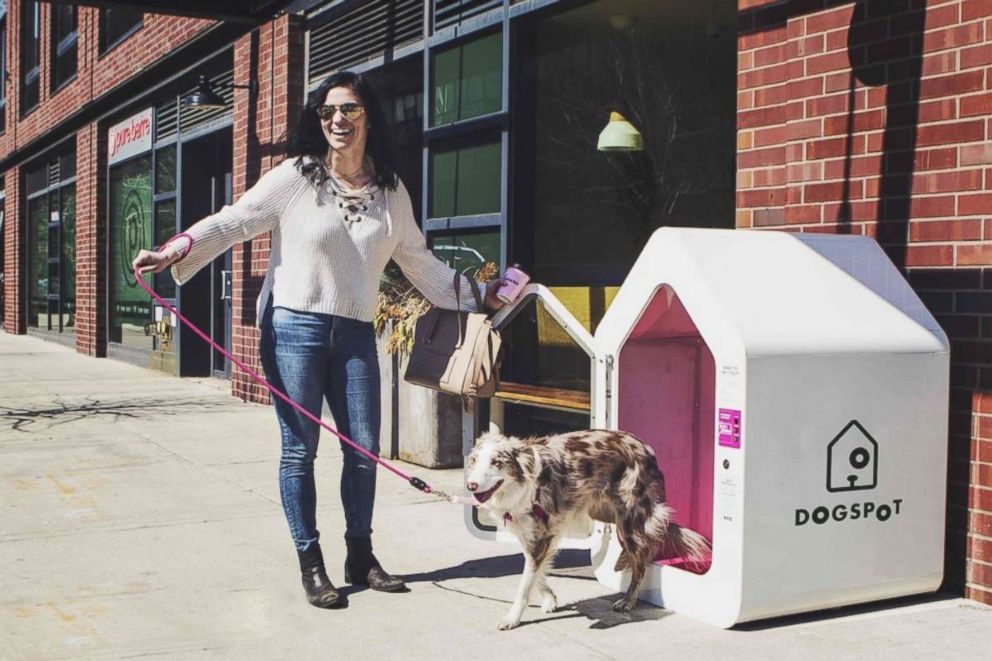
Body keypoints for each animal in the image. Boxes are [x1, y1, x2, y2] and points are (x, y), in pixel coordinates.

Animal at [466, 428, 708, 628]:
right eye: (475, 461)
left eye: (497, 462)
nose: (471, 485)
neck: (520, 487)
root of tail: (645, 448)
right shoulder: (535, 536)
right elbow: (536, 573)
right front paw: (550, 599)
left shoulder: (541, 536)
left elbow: (525, 583)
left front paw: (512, 618)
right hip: (605, 513)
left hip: (628, 522)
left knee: (641, 562)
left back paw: (628, 601)